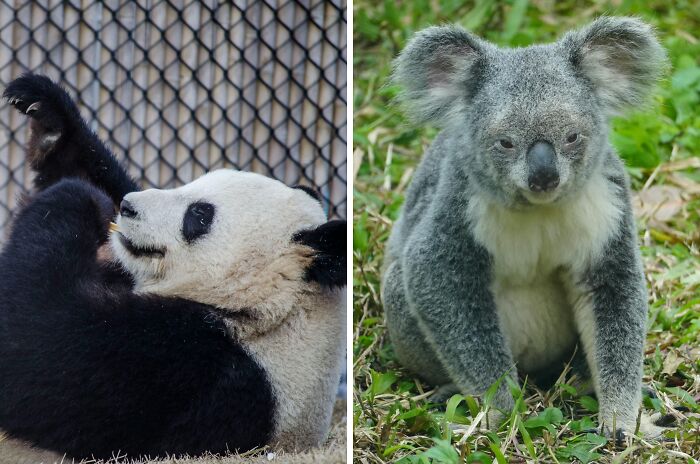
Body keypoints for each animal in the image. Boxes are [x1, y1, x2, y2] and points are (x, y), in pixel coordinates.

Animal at [0, 74, 346, 462]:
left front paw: (75, 198)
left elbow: (41, 348)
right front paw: (47, 114)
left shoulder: (196, 367)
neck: (278, 308)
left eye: (199, 215)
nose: (127, 207)